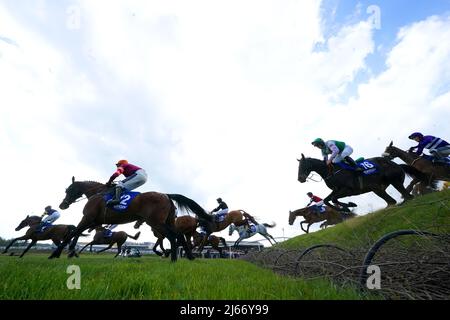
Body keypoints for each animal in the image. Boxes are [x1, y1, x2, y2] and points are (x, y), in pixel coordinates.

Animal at [51, 178, 214, 262]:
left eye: (68, 190)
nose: (62, 205)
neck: (98, 194)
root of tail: (166, 195)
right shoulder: (94, 222)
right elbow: (76, 234)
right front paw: (71, 252)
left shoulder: (88, 218)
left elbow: (72, 234)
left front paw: (55, 254)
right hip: (167, 221)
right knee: (178, 235)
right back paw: (189, 257)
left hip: (155, 222)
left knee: (172, 236)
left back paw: (173, 257)